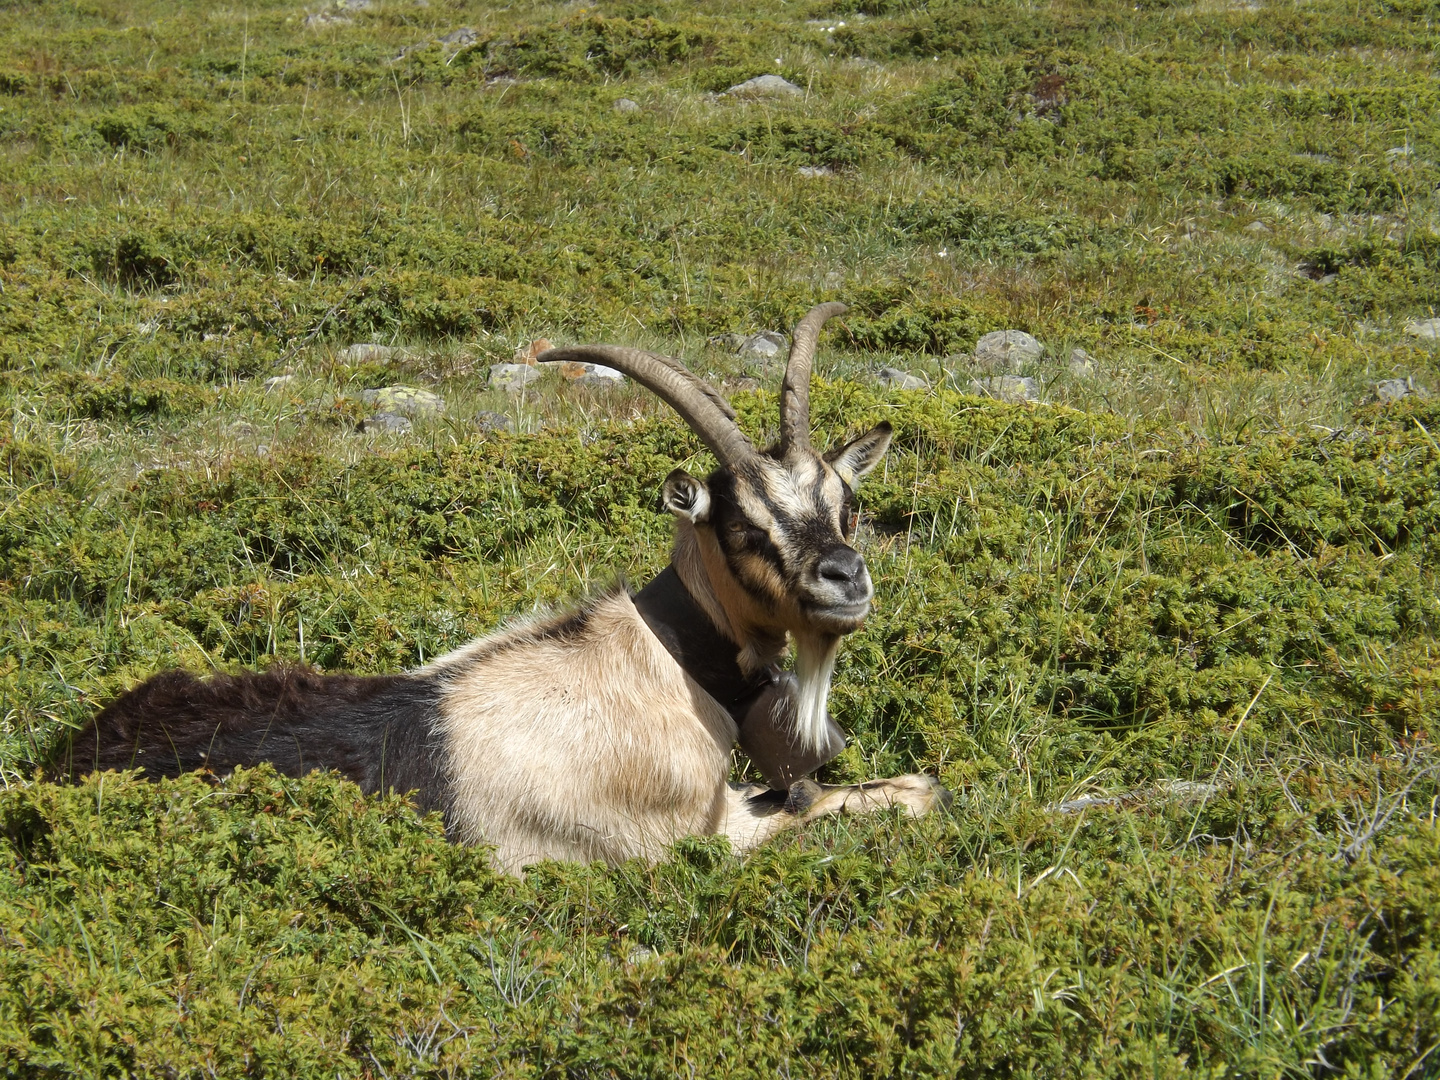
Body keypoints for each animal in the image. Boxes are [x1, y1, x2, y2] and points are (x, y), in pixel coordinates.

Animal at [61, 302, 950, 869]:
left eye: (847, 505)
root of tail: (66, 759)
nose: (845, 579)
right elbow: (874, 796)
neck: (664, 668)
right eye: (743, 526)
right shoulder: (685, 839)